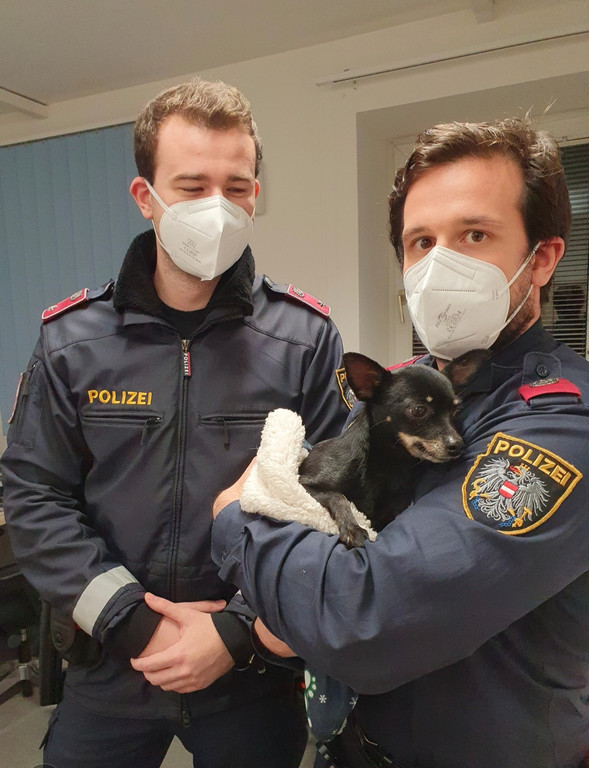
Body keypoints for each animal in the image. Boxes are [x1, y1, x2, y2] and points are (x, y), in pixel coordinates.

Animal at [298, 350, 487, 547]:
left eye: (456, 411)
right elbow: (338, 497)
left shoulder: (385, 516)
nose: (458, 445)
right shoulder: (306, 485)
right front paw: (352, 528)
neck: (390, 462)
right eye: (419, 410)